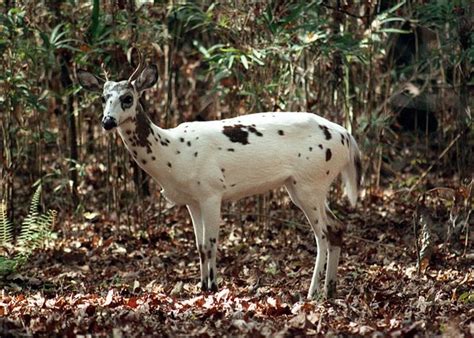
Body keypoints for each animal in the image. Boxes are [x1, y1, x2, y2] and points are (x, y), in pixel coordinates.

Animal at [78, 52, 362, 298]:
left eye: (127, 98)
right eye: (103, 98)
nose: (107, 121)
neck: (173, 155)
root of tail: (346, 136)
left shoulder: (212, 191)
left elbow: (212, 243)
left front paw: (213, 287)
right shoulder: (192, 201)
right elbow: (200, 247)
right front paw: (202, 287)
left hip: (310, 181)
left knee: (322, 235)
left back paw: (312, 293)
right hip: (305, 184)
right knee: (337, 227)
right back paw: (330, 290)